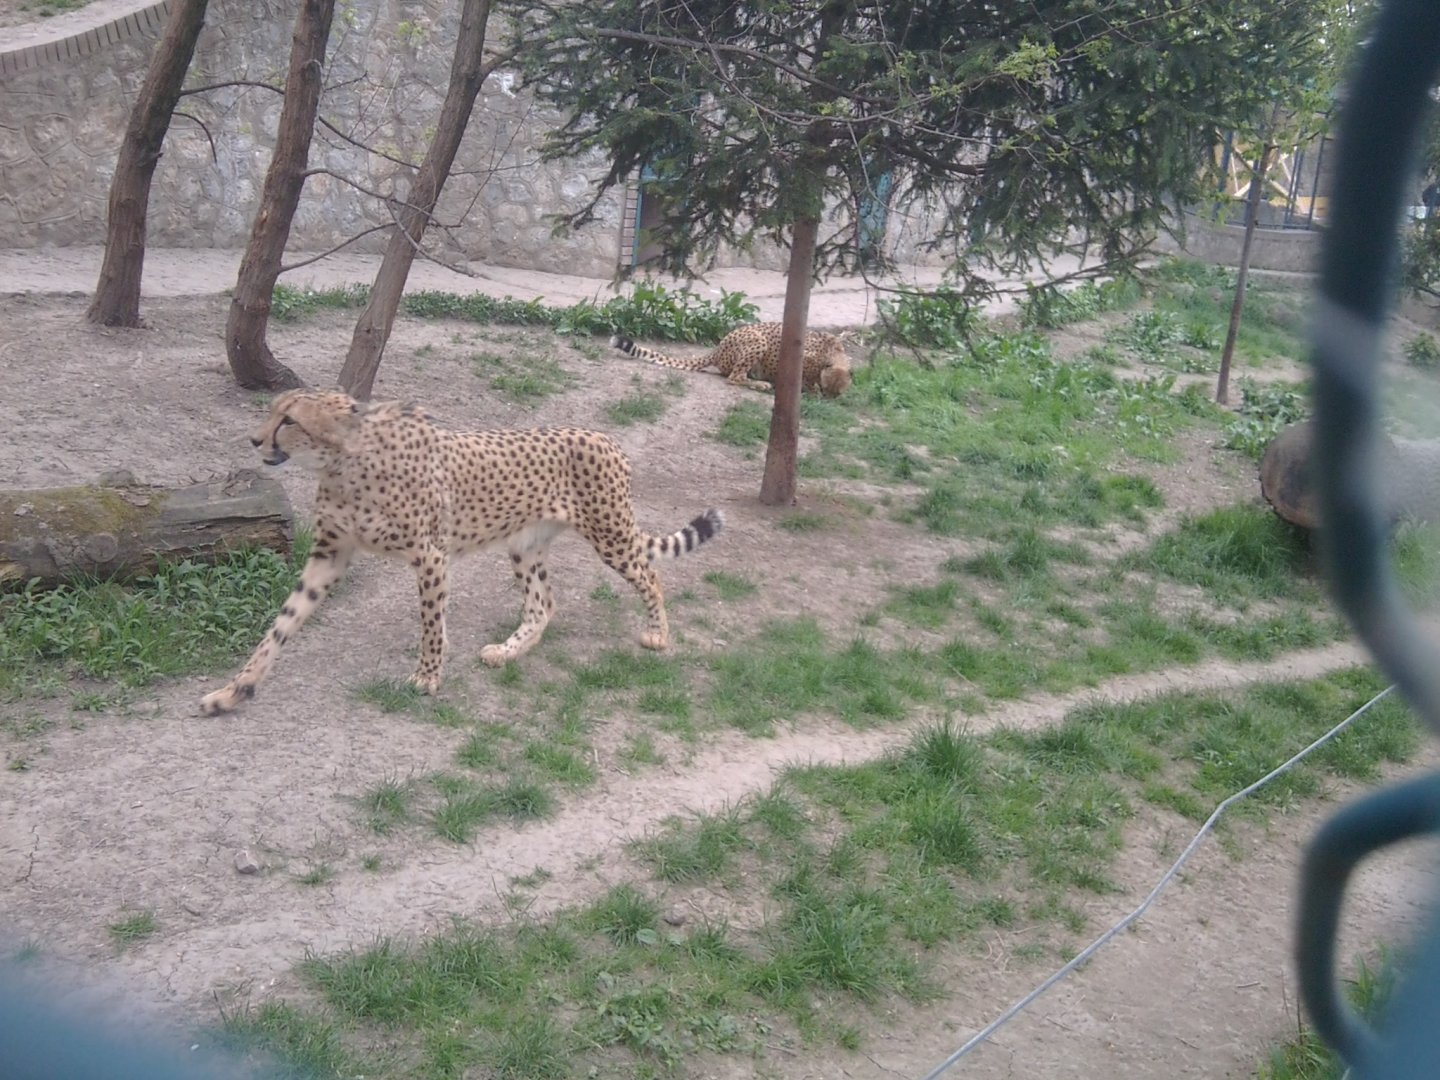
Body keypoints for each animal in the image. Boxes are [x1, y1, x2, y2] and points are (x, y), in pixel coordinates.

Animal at [200, 390, 723, 715]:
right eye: (274, 413)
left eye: (289, 421)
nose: (254, 439)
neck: (343, 461)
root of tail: (605, 438)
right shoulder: (329, 557)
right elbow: (279, 627)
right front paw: (234, 690)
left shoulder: (430, 554)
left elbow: (431, 624)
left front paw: (428, 677)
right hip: (524, 543)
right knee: (543, 604)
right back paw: (508, 652)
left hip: (610, 534)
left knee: (650, 576)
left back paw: (658, 635)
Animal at [610, 322, 853, 397]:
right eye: (828, 389)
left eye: (837, 394)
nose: (828, 400)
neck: (834, 353)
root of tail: (718, 347)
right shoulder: (802, 359)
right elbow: (806, 378)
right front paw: (810, 390)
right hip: (757, 339)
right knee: (734, 377)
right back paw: (762, 384)